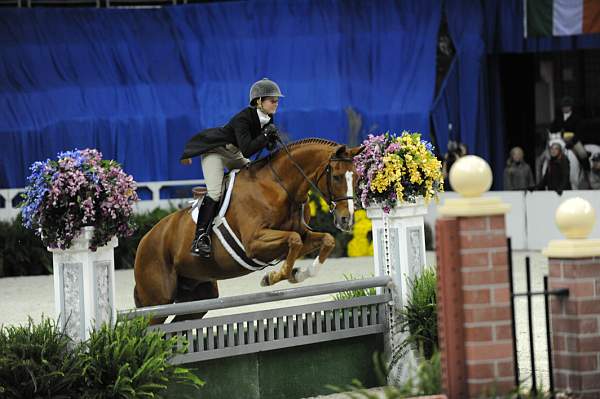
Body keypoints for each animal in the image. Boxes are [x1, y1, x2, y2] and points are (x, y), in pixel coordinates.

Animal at [134, 139, 364, 324]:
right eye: (336, 177)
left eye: (357, 178)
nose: (346, 220)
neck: (280, 186)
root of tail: (144, 240)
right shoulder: (254, 243)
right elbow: (294, 240)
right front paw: (273, 277)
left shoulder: (301, 235)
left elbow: (325, 240)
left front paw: (297, 275)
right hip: (157, 301)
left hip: (199, 297)